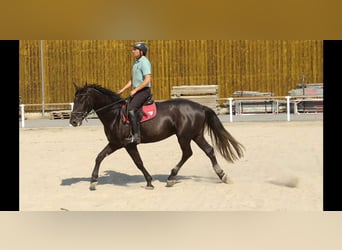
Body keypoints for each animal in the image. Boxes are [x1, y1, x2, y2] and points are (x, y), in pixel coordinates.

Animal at [69, 83, 244, 190]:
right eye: (74, 99)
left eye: (82, 99)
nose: (73, 121)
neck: (115, 114)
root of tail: (200, 106)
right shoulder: (115, 143)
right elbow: (99, 157)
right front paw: (93, 181)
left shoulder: (129, 144)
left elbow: (138, 163)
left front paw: (149, 181)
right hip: (196, 135)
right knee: (208, 150)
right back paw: (222, 175)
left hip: (184, 136)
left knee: (188, 153)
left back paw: (171, 177)